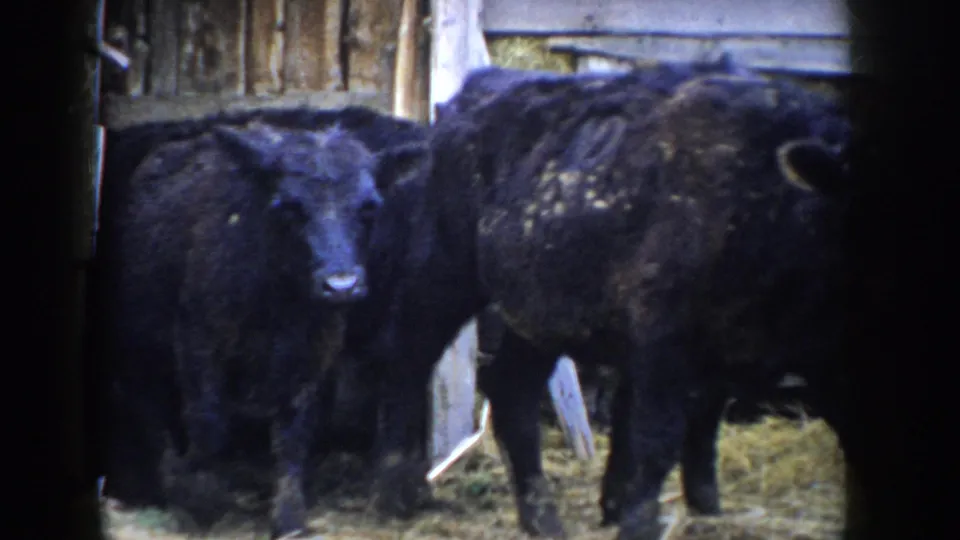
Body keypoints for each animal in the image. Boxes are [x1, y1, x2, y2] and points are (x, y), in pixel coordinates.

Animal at [87, 105, 427, 538]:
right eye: (289, 206)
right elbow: (208, 423)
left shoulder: (312, 355)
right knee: (151, 410)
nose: (341, 285)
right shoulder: (198, 342)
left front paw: (289, 517)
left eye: (368, 207)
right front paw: (199, 501)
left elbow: (294, 434)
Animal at [357, 64, 854, 540]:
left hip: (536, 312)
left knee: (513, 389)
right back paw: (400, 491)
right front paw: (640, 522)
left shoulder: (732, 354)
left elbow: (701, 428)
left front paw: (704, 508)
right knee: (407, 354)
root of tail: (467, 96)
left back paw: (541, 517)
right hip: (443, 272)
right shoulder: (666, 344)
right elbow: (657, 434)